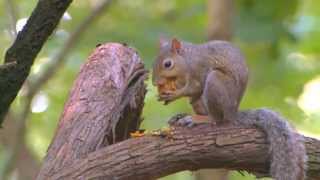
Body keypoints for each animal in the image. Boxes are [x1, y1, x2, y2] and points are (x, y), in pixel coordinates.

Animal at [152, 38, 308, 180]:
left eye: (167, 64)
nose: (155, 82)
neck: (186, 60)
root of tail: (232, 113)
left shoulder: (199, 69)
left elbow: (194, 88)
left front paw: (174, 95)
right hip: (199, 102)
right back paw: (182, 116)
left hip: (215, 82)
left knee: (216, 119)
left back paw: (198, 119)